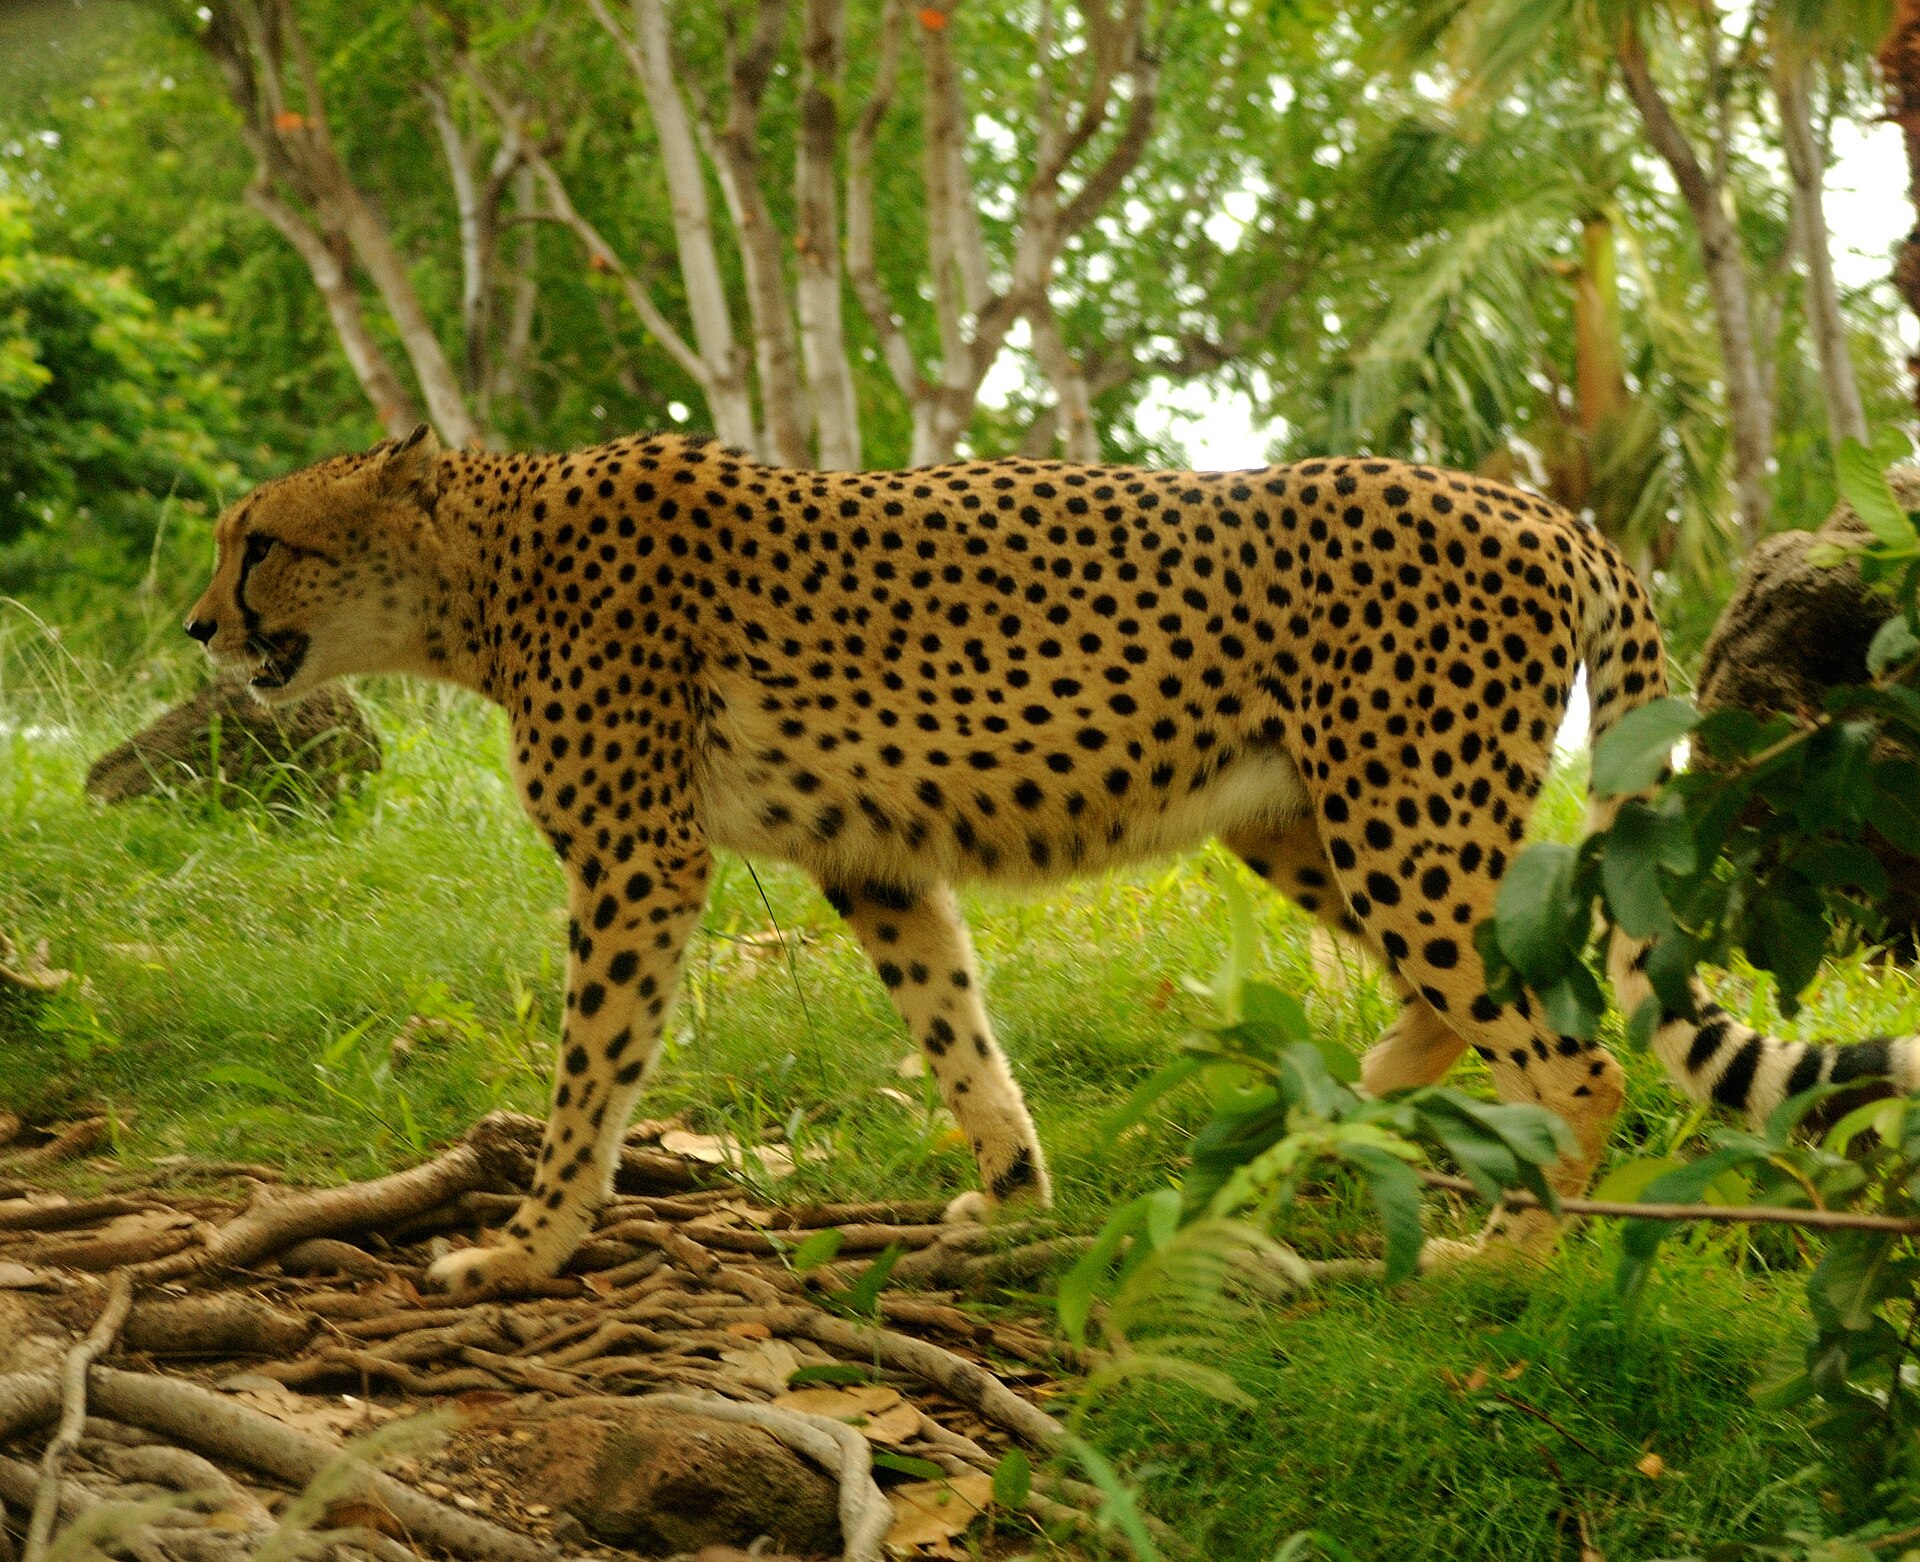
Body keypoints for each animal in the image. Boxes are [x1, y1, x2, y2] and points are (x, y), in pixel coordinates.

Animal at [184, 424, 1920, 1290]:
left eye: (261, 539)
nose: (198, 626)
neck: (481, 567)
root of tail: (1546, 507)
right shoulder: (875, 857)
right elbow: (958, 1033)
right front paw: (1013, 1199)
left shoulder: (637, 857)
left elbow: (589, 1072)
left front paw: (527, 1243)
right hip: (1305, 817)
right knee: (1495, 986)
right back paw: (1377, 1082)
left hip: (1401, 816)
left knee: (1576, 1042)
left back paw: (1524, 1239)